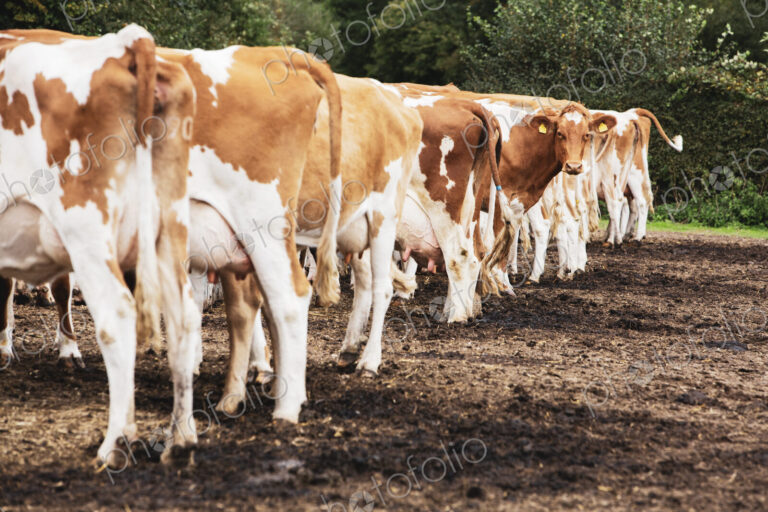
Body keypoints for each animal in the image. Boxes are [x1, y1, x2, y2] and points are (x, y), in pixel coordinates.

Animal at [0, 25, 202, 467]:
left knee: (117, 315)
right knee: (183, 317)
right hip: (169, 227)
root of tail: (124, 44)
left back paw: (116, 443)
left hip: (86, 228)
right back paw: (180, 440)